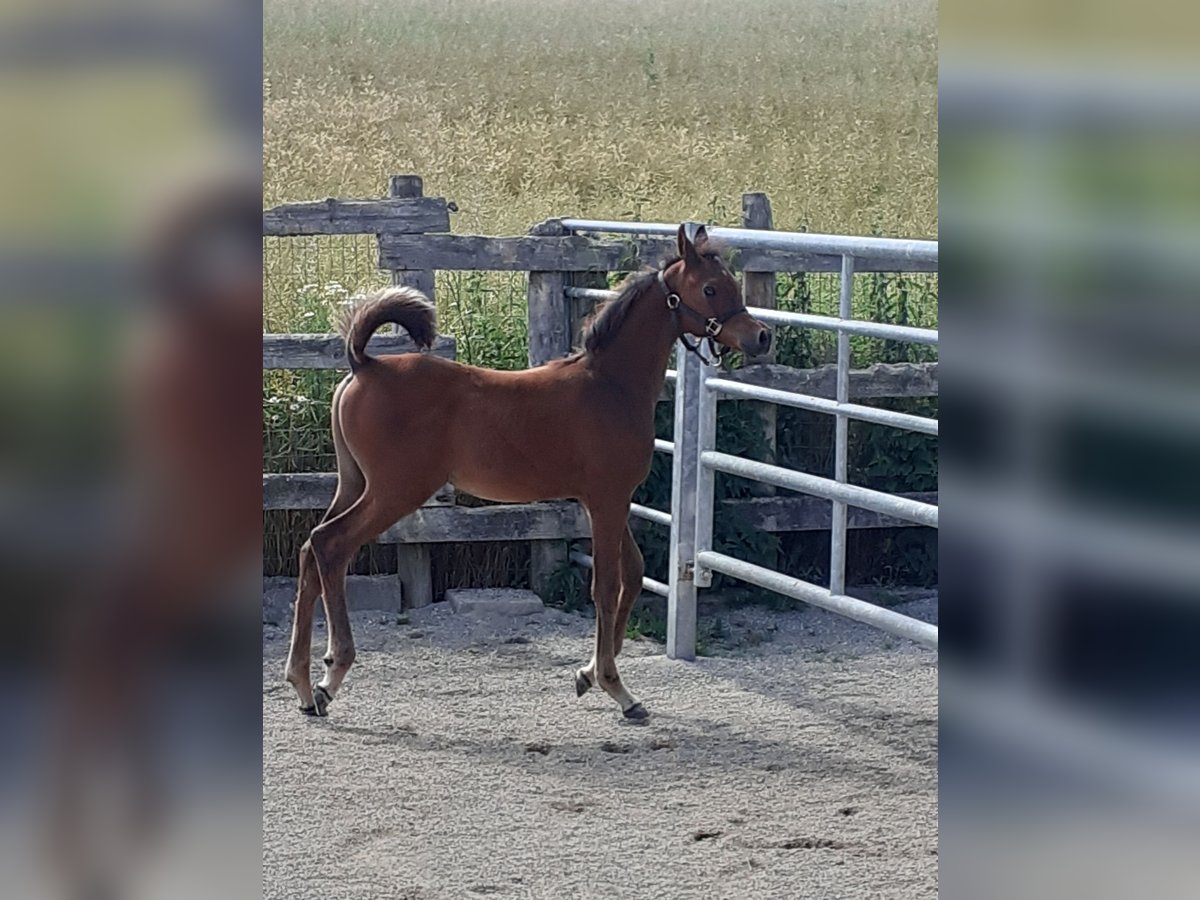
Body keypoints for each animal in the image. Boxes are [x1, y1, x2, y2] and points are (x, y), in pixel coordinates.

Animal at [284, 226, 768, 724]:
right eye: (709, 289)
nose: (762, 336)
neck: (610, 386)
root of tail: (365, 364)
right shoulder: (607, 499)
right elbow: (606, 585)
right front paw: (617, 688)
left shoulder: (605, 501)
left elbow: (632, 575)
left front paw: (587, 675)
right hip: (393, 491)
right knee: (331, 545)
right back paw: (330, 676)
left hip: (355, 483)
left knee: (309, 549)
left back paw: (303, 684)